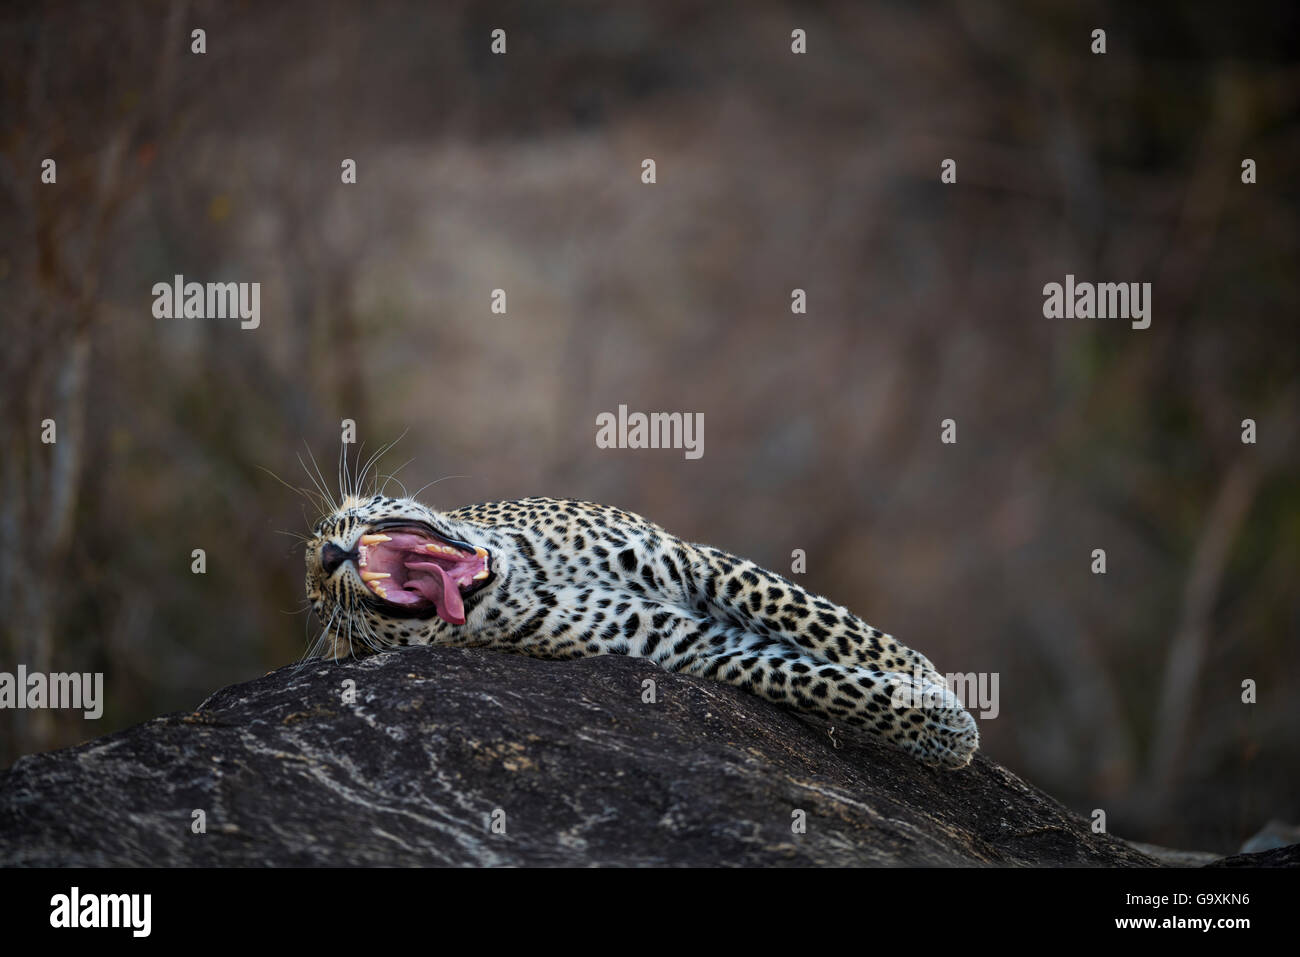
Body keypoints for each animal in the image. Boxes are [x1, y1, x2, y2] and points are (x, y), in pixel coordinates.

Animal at [301, 494, 977, 769]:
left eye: (335, 522)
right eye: (324, 607)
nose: (326, 558)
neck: (519, 574)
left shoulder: (692, 561)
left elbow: (814, 617)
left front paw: (922, 678)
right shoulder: (687, 642)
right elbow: (806, 678)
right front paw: (942, 728)